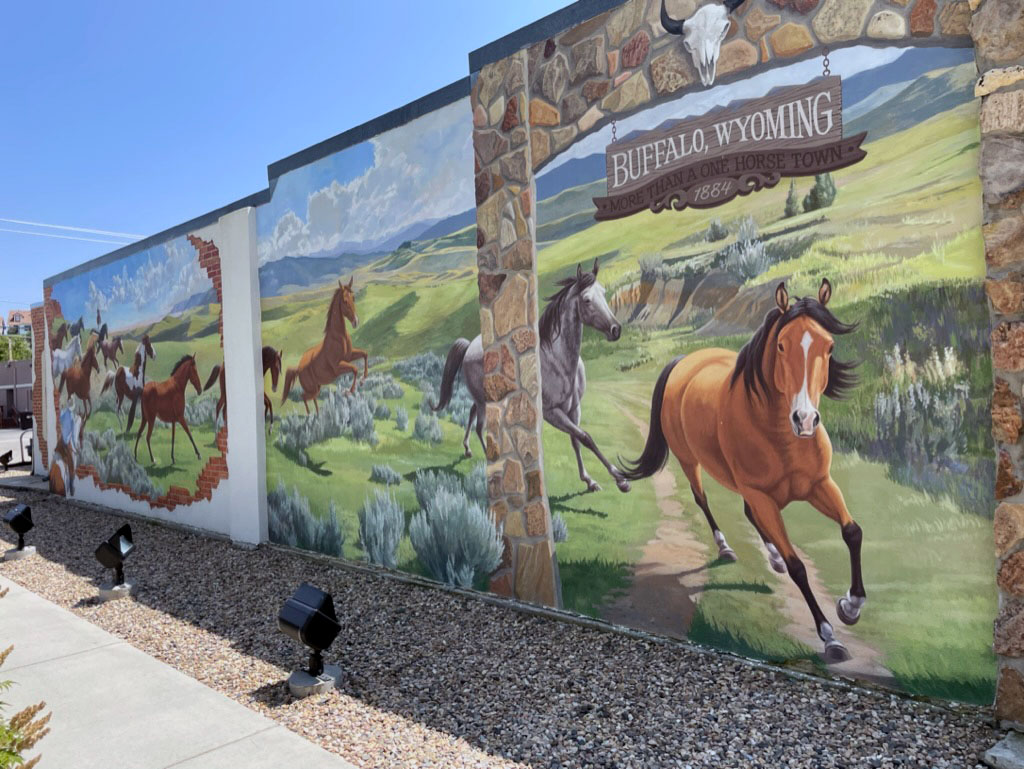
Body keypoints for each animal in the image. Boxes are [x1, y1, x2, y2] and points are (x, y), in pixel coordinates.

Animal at [280, 278, 368, 415]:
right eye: (344, 300)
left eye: (353, 298)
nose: (356, 322)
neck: (339, 337)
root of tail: (298, 368)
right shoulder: (338, 367)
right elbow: (354, 369)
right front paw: (349, 391)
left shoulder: (349, 357)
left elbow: (365, 354)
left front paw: (363, 379)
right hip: (311, 388)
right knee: (303, 396)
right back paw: (310, 416)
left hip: (317, 387)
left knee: (312, 397)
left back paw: (317, 413)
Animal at [434, 259, 630, 493]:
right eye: (587, 300)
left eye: (603, 292)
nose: (616, 329)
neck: (558, 362)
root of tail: (469, 345)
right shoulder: (552, 413)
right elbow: (586, 437)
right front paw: (619, 478)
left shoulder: (574, 408)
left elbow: (576, 439)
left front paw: (590, 480)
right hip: (484, 402)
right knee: (481, 427)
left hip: (481, 398)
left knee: (472, 414)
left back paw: (467, 450)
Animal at [614, 280, 864, 663]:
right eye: (781, 344)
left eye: (830, 346)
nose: (806, 420)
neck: (780, 436)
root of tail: (685, 361)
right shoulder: (761, 495)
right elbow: (798, 566)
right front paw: (830, 637)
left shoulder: (820, 484)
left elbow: (852, 532)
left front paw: (850, 606)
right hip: (690, 461)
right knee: (702, 499)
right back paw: (726, 548)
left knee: (747, 513)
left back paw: (771, 557)